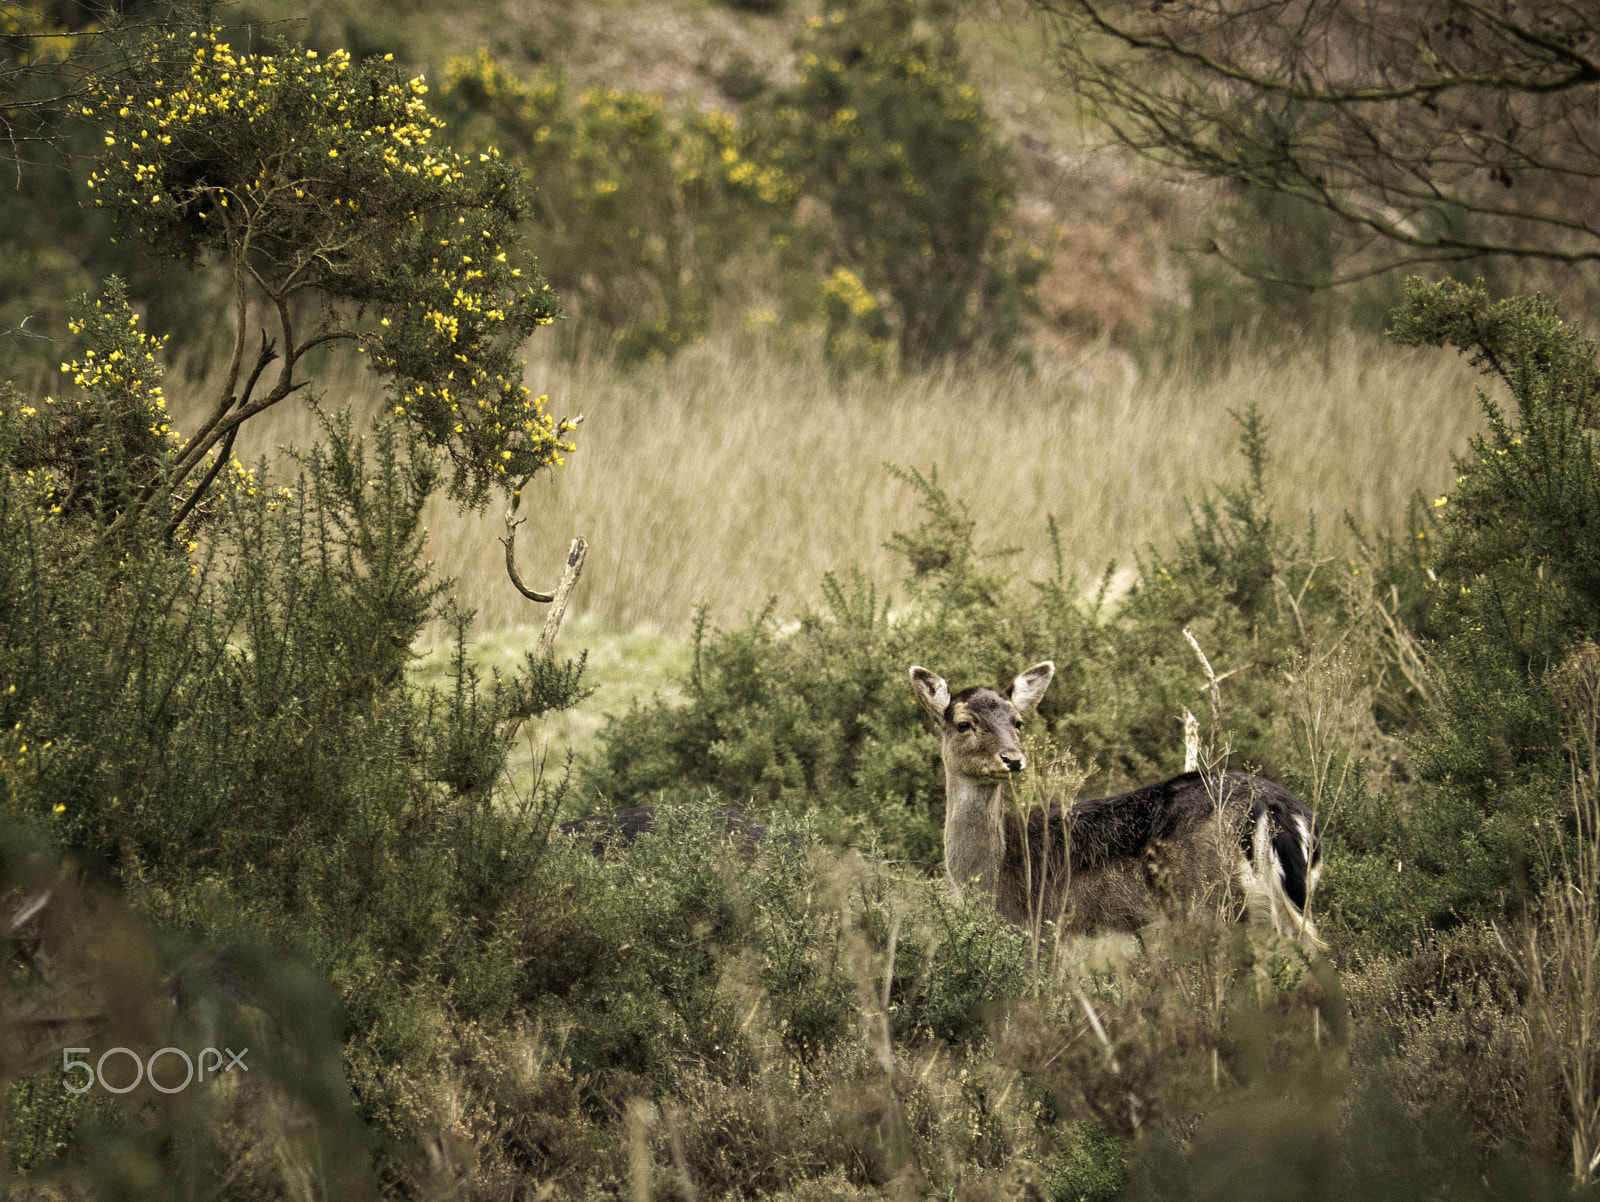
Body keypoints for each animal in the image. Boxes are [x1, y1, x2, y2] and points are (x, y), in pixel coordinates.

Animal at [910, 661, 1324, 950]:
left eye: (1017, 721)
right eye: (964, 723)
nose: (1013, 759)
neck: (994, 874)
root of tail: (1275, 807)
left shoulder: (1042, 929)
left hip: (1210, 901)